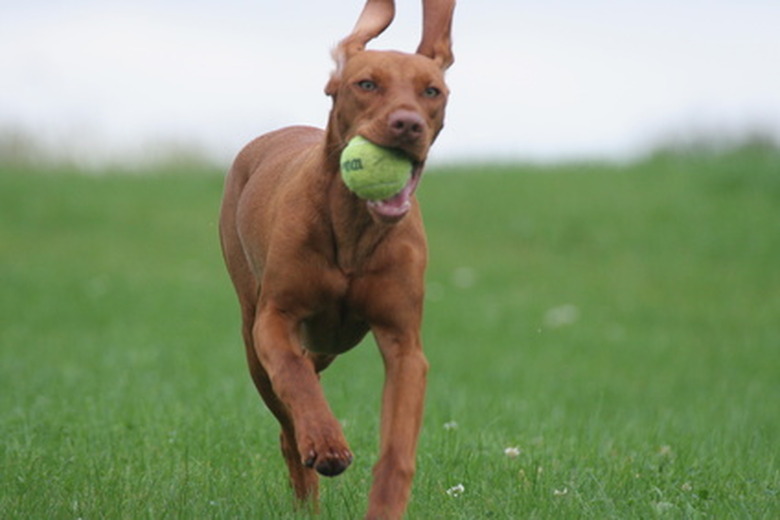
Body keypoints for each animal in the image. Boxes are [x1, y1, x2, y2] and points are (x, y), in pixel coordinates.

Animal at [216, 1, 454, 516]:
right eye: (366, 84)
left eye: (432, 91)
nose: (408, 124)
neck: (354, 230)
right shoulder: (275, 321)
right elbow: (294, 377)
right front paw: (326, 443)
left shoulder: (405, 346)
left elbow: (398, 444)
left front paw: (385, 504)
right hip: (251, 336)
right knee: (288, 418)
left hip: (330, 341)